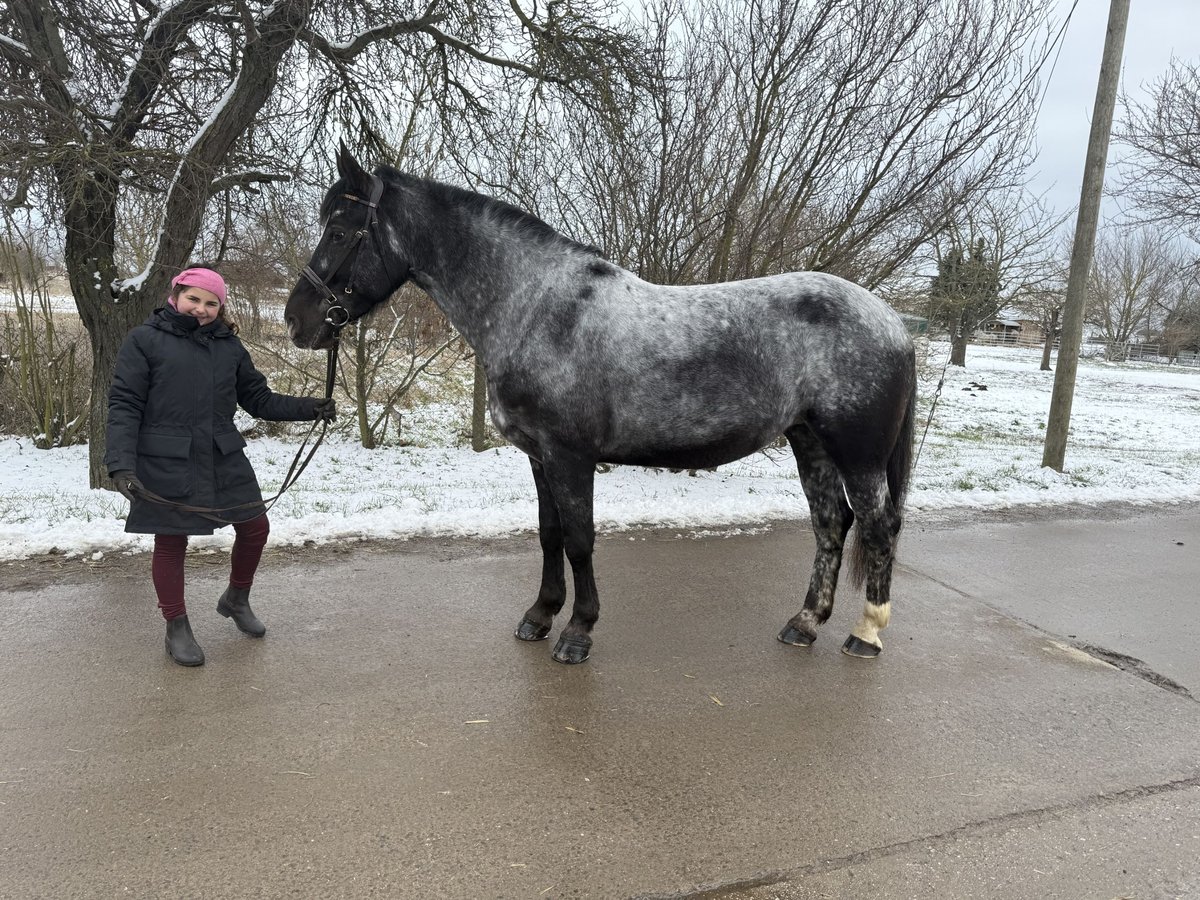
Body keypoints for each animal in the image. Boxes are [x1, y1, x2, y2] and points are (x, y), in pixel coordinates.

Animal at [285, 148, 912, 667]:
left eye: (340, 229)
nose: (298, 320)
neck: (539, 308)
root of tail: (892, 322)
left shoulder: (571, 456)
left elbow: (581, 539)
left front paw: (577, 633)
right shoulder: (539, 456)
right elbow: (549, 534)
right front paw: (539, 616)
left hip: (857, 454)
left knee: (877, 527)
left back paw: (865, 633)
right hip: (810, 442)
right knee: (831, 524)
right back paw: (804, 625)